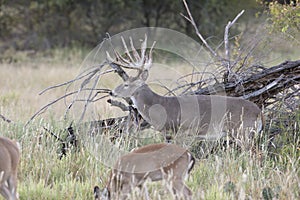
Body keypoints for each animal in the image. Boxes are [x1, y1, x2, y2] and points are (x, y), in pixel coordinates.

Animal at [107, 35, 262, 148]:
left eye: (126, 84)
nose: (111, 93)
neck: (159, 106)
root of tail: (259, 113)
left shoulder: (178, 131)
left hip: (242, 131)